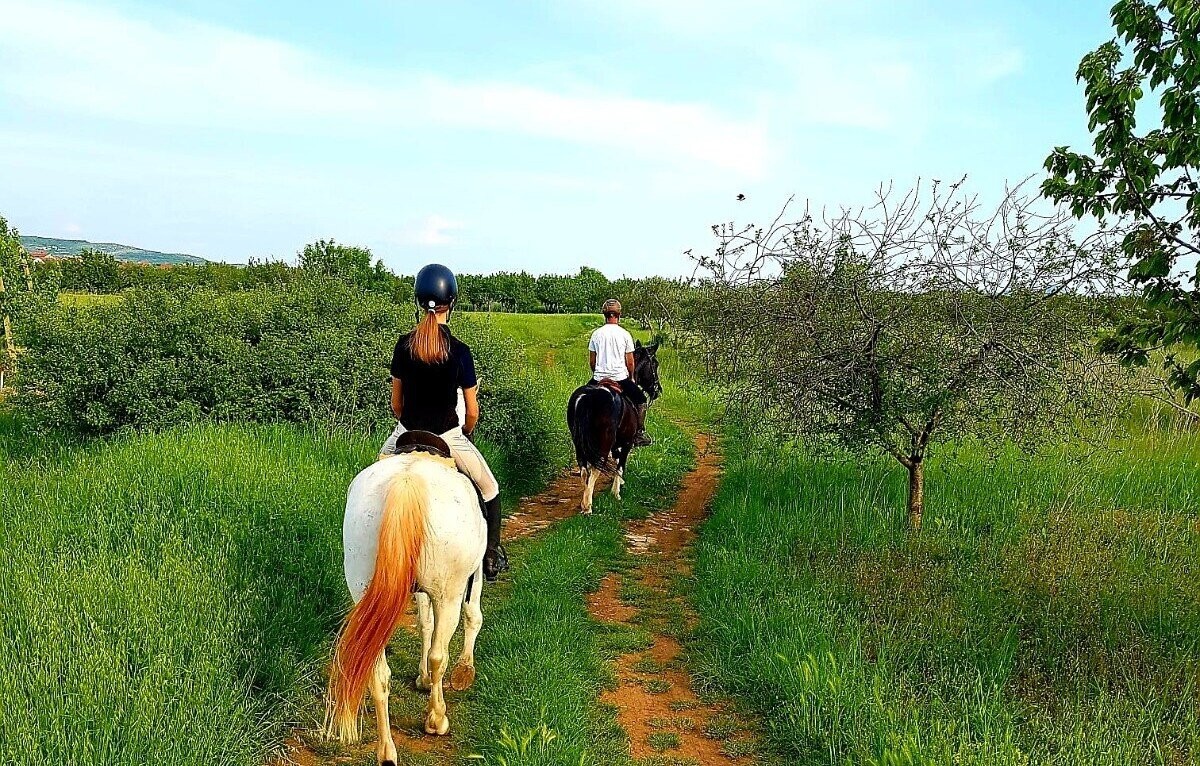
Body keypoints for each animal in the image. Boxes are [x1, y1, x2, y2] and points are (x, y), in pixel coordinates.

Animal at [326, 453, 484, 763]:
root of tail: (407, 480)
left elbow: (424, 623)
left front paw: (422, 678)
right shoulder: (474, 573)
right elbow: (473, 615)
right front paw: (465, 671)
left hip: (363, 590)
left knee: (378, 673)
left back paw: (386, 751)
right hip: (448, 594)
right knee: (439, 655)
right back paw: (436, 719)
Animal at [564, 343, 662, 516]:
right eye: (655, 364)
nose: (657, 390)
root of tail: (588, 396)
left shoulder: (616, 443)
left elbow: (616, 460)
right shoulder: (627, 442)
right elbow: (620, 464)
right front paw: (616, 493)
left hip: (579, 442)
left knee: (584, 468)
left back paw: (584, 501)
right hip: (605, 440)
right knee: (596, 467)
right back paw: (588, 506)